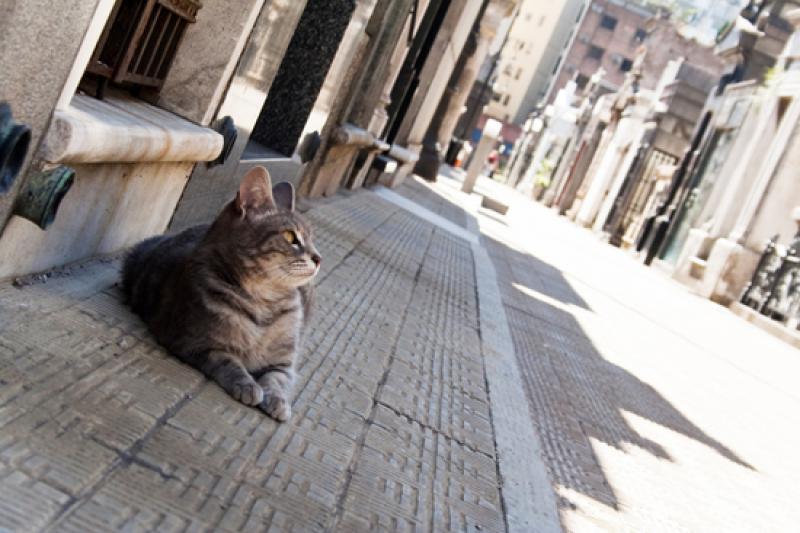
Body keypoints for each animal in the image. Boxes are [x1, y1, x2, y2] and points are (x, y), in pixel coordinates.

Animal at [120, 166, 320, 420]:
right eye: (290, 237)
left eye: (312, 238)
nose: (318, 258)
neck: (263, 305)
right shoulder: (195, 342)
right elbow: (229, 362)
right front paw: (247, 385)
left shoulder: (284, 362)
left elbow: (276, 380)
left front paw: (278, 400)